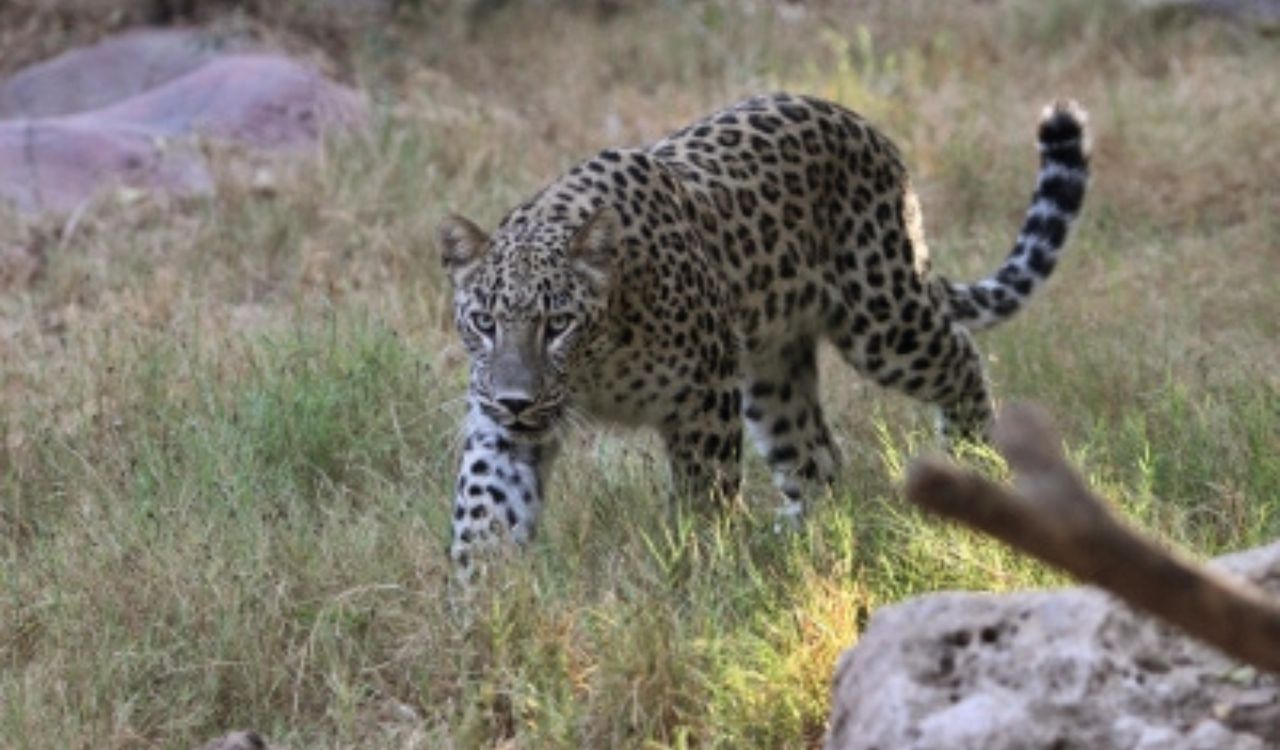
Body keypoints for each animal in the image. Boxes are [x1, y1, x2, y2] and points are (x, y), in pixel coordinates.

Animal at [436, 92, 1090, 571]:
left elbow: (703, 495)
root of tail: (857, 122)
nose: (516, 401)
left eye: (558, 324)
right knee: (817, 459)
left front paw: (698, 571)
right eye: (485, 322)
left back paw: (975, 456)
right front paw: (481, 609)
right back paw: (795, 540)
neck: (597, 365)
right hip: (774, 371)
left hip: (882, 319)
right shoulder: (499, 426)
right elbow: (485, 510)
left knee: (960, 356)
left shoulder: (702, 396)